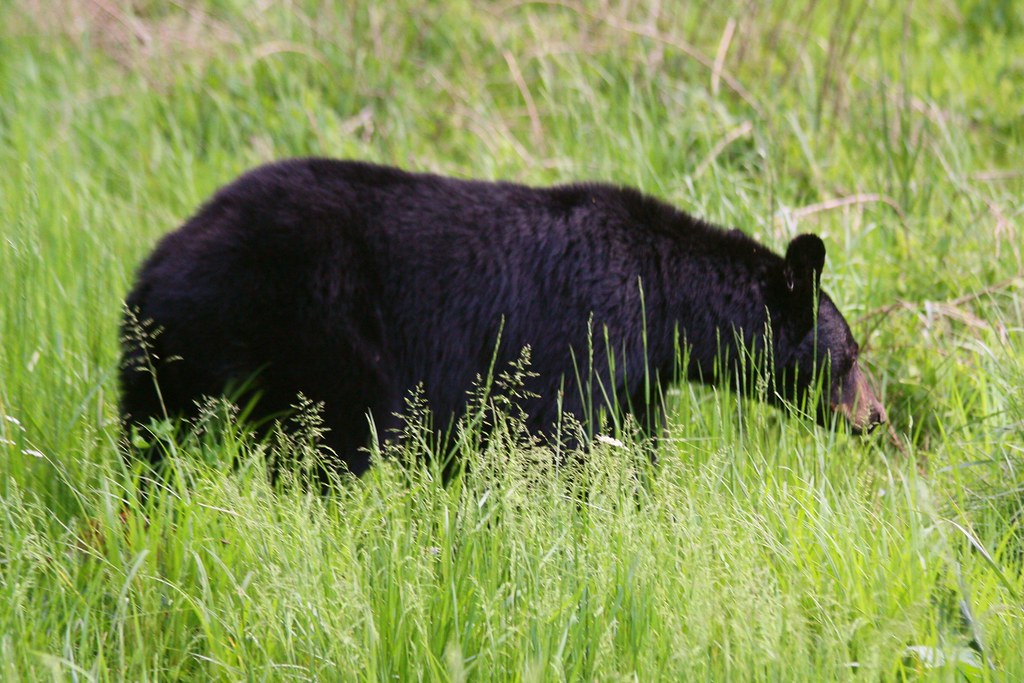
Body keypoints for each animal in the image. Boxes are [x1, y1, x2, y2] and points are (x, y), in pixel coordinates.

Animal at [120, 158, 886, 477]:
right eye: (850, 356)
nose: (878, 415)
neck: (665, 300)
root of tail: (159, 262)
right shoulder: (587, 337)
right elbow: (562, 444)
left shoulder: (639, 379)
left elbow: (634, 447)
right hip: (304, 330)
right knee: (329, 441)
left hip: (177, 355)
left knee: (153, 433)